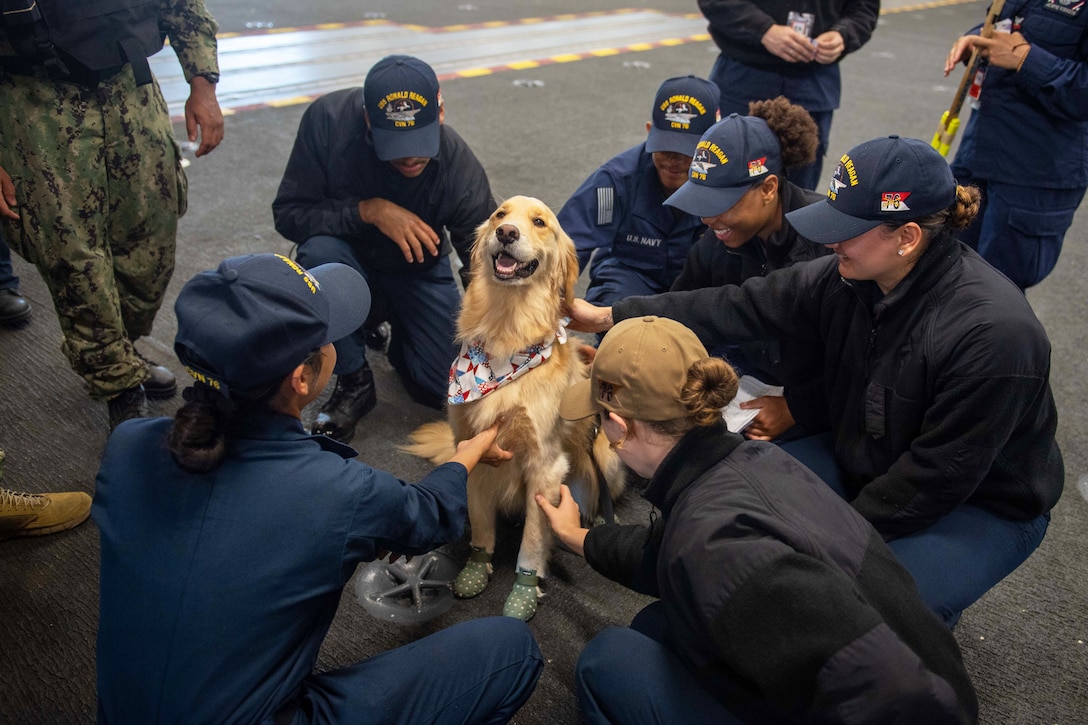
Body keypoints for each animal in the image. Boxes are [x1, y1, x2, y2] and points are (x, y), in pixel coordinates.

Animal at [402, 194, 626, 618]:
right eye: (499, 215)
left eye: (539, 222)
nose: (507, 233)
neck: (506, 333)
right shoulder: (472, 448)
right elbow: (480, 521)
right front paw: (476, 569)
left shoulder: (545, 465)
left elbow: (534, 541)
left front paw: (524, 592)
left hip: (606, 456)